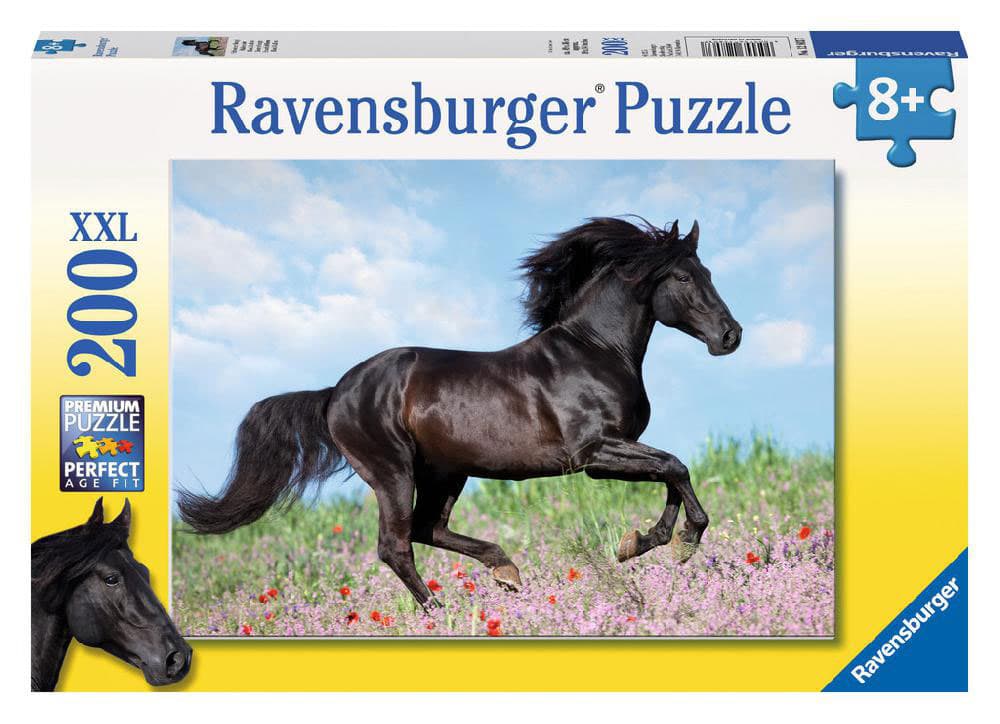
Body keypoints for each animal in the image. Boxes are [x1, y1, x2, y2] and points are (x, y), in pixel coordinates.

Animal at [178, 217, 741, 610]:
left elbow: (671, 472)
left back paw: (506, 572)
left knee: (428, 529)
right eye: (684, 277)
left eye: (708, 272)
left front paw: (643, 543)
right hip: (393, 471)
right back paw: (439, 610)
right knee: (396, 544)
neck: (594, 350)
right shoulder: (594, 454)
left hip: (446, 471)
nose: (730, 336)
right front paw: (682, 542)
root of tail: (335, 392)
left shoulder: (615, 451)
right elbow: (674, 467)